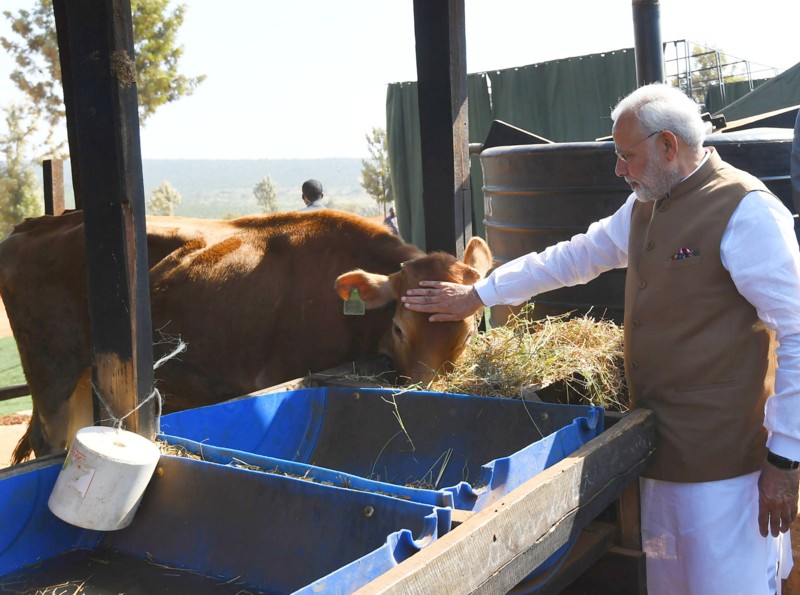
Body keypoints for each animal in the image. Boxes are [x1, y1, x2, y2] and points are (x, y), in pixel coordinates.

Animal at [0, 209, 492, 464]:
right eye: (399, 328)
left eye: (469, 333)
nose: (430, 388)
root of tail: (35, 223)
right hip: (52, 379)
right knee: (49, 442)